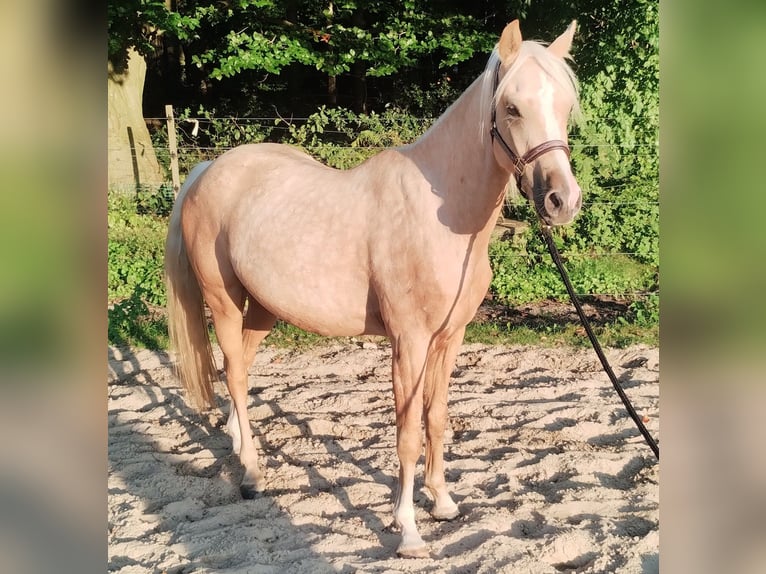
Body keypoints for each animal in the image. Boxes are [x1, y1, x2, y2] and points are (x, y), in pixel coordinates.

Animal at [166, 21, 584, 560]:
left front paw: (442, 502)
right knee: (235, 376)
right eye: (512, 107)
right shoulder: (409, 343)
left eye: (566, 105)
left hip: (263, 309)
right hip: (223, 302)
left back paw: (240, 448)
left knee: (235, 368)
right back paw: (252, 473)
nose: (562, 200)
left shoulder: (450, 339)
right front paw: (408, 530)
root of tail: (207, 170)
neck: (442, 217)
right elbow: (406, 433)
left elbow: (436, 419)